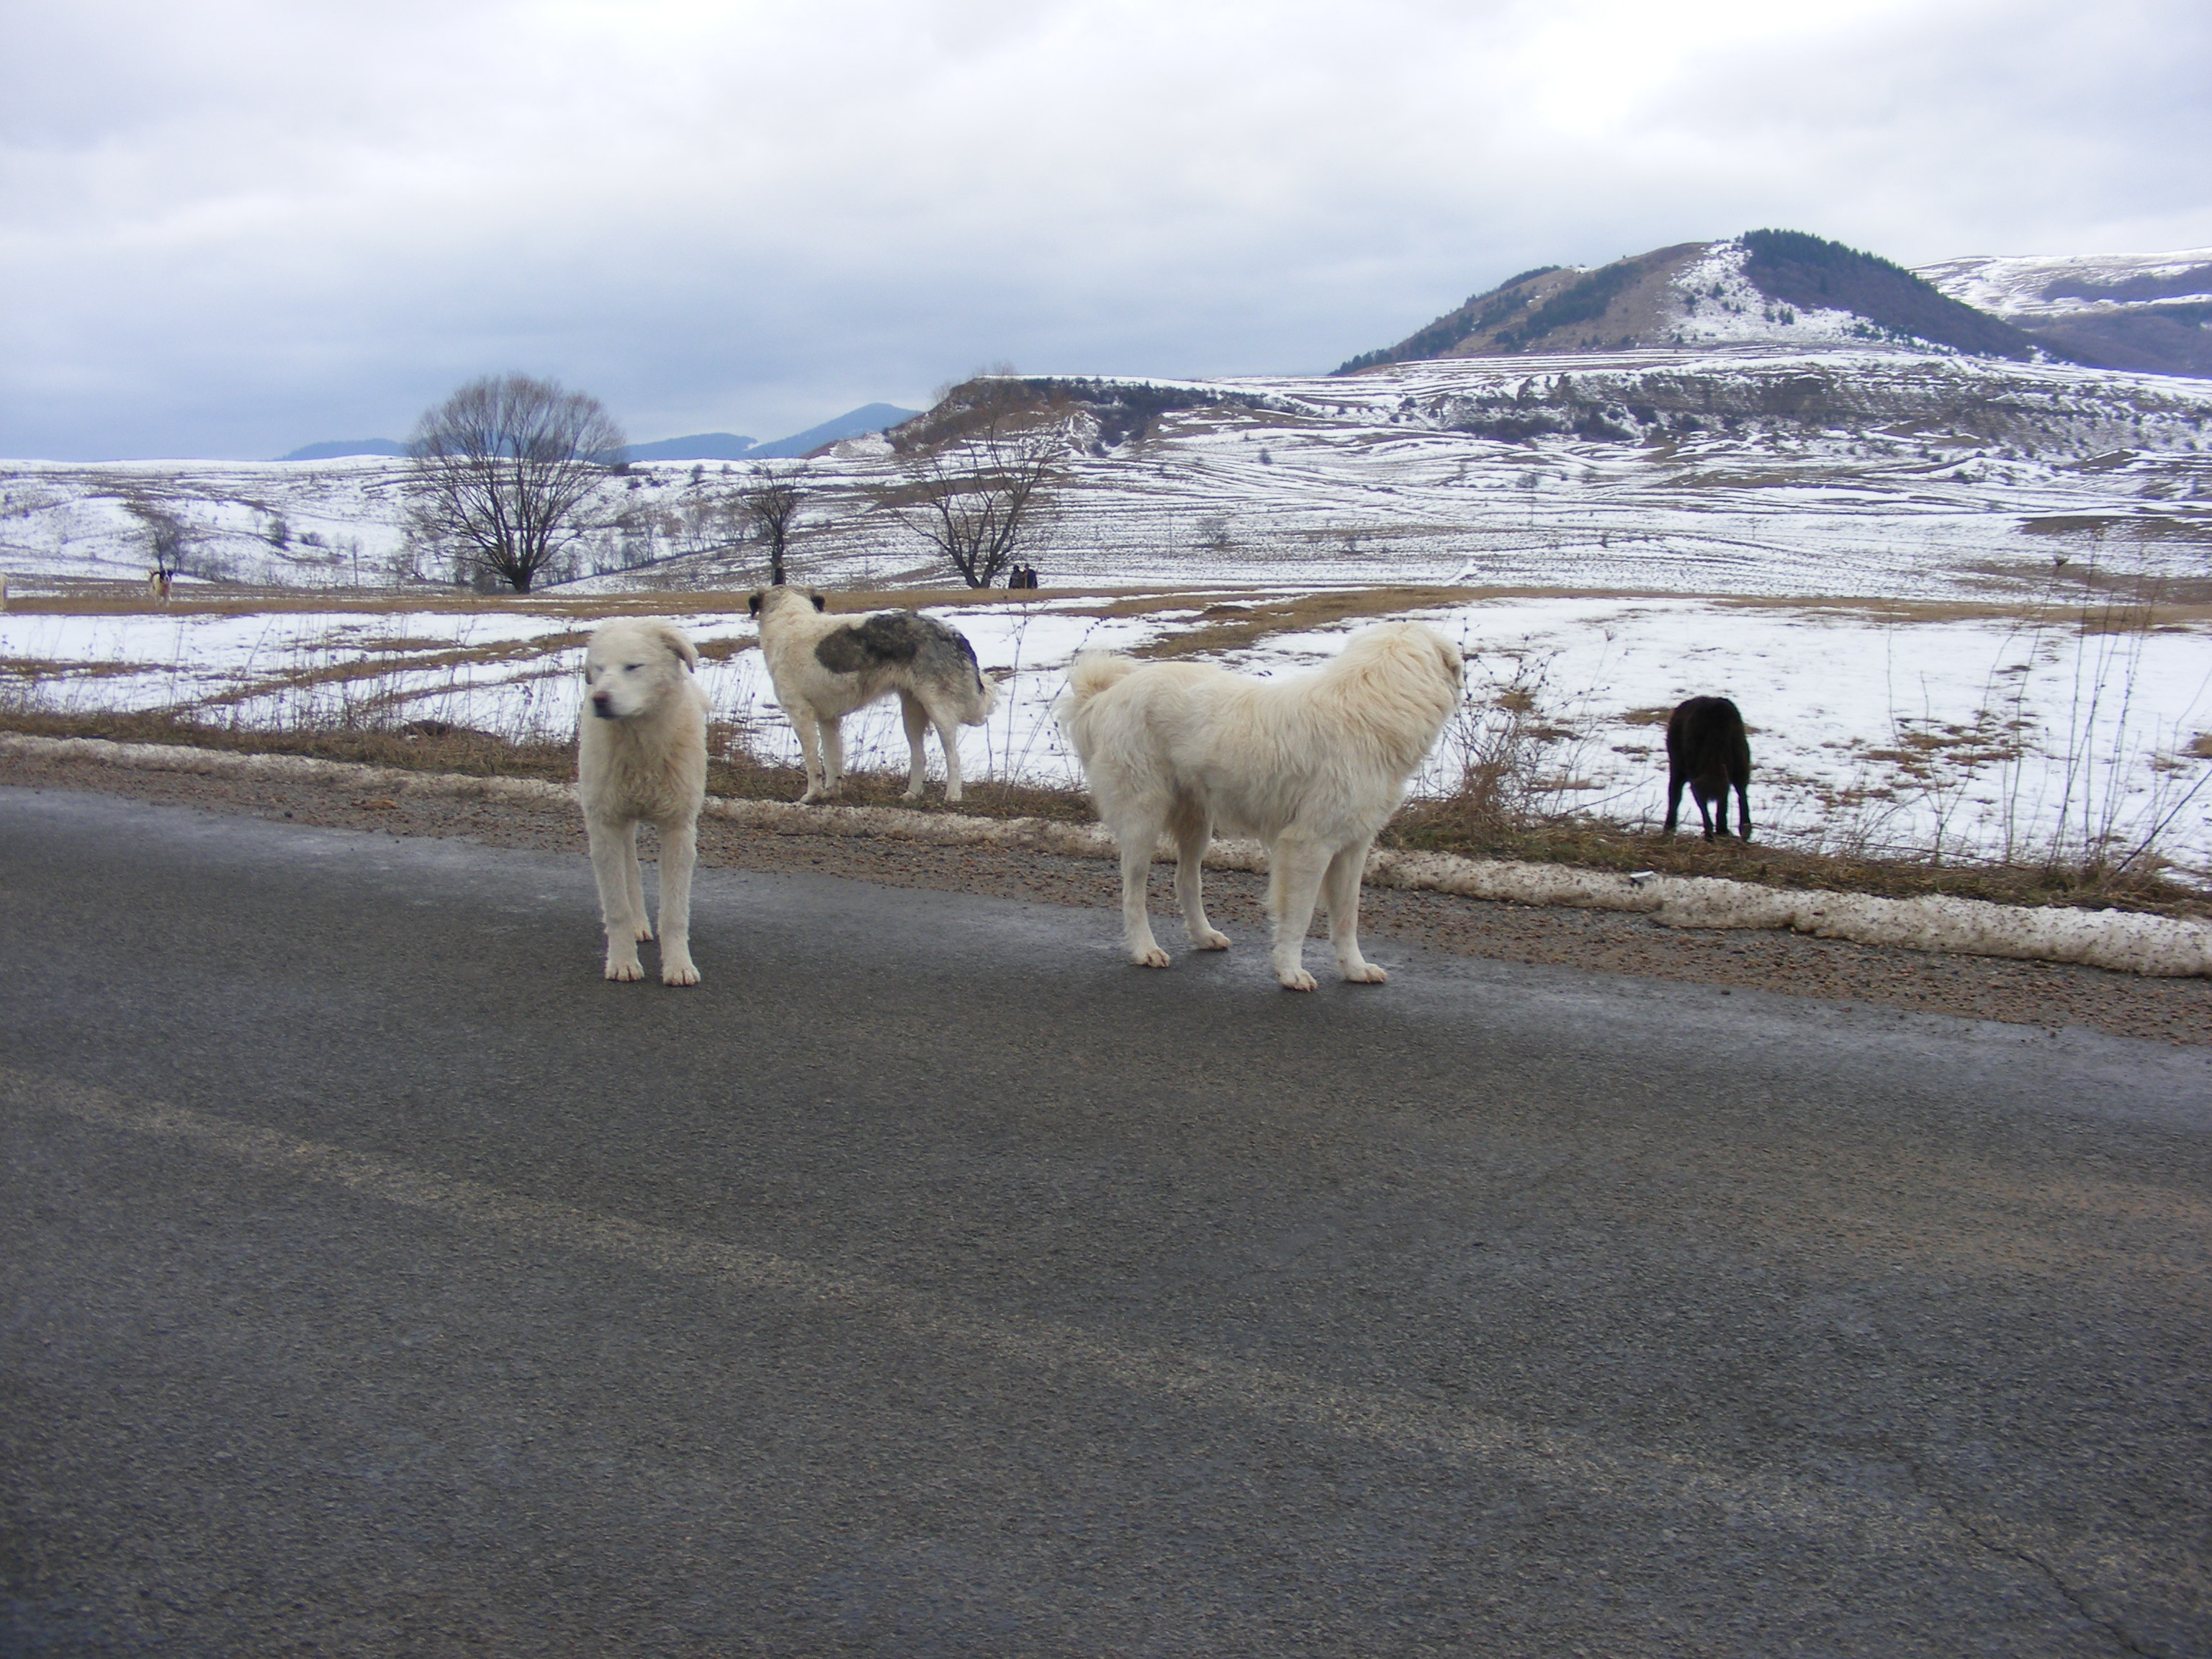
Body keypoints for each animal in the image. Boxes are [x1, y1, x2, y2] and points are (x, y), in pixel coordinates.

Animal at [577, 618, 709, 985]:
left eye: (633, 666)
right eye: (599, 668)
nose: (600, 699)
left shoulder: (679, 828)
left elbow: (675, 911)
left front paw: (679, 966)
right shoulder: (604, 824)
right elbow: (616, 906)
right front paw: (622, 962)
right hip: (619, 817)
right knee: (630, 872)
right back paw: (638, 926)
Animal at [748, 586, 997, 803]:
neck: (789, 620)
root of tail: (953, 633)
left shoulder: (801, 715)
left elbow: (812, 761)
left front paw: (811, 796)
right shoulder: (829, 719)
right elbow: (832, 758)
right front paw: (832, 793)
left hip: (938, 709)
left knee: (953, 756)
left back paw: (953, 795)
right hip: (912, 712)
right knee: (920, 756)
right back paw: (911, 794)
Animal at [1057, 622, 1463, 991]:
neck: (1369, 707)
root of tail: (1106, 693)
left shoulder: (1353, 847)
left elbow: (1348, 916)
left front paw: (1355, 969)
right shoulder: (1308, 846)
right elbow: (1298, 918)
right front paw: (1291, 971)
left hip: (1197, 823)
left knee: (1186, 880)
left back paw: (1204, 936)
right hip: (1143, 818)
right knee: (1133, 892)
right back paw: (1145, 949)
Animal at [1662, 695, 1752, 841]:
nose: (1710, 836)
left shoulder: (1740, 769)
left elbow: (1740, 795)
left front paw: (1742, 829)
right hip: (1677, 766)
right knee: (1675, 794)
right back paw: (1669, 828)